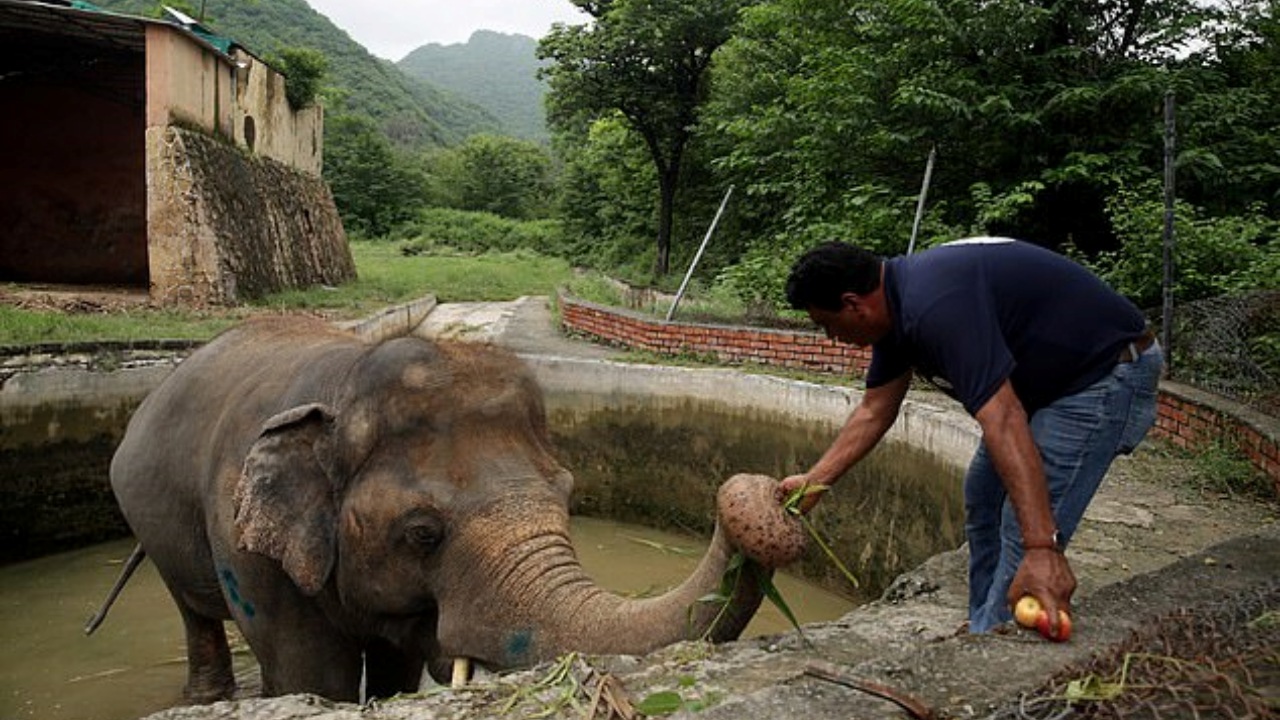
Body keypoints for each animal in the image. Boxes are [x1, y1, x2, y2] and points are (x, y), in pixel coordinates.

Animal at [99, 316, 773, 702]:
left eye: (568, 495)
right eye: (422, 533)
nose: (764, 490)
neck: (344, 381)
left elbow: (395, 669)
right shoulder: (246, 546)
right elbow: (314, 678)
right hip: (147, 508)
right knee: (194, 612)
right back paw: (210, 700)